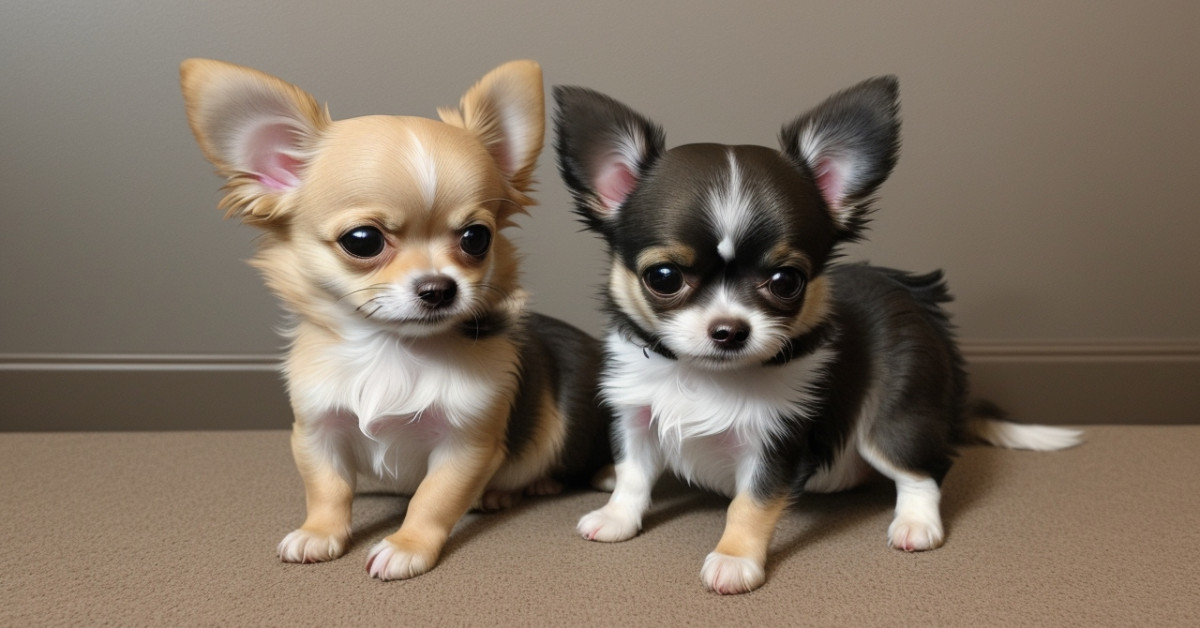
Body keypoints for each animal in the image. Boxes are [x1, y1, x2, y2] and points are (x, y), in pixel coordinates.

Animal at [181, 59, 612, 581]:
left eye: (476, 238)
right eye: (362, 240)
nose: (439, 287)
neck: (389, 348)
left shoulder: (465, 444)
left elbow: (432, 499)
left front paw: (407, 545)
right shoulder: (317, 432)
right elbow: (327, 489)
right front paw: (318, 533)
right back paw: (501, 492)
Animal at [553, 76, 1082, 594]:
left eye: (786, 281)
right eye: (663, 277)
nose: (729, 330)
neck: (702, 377)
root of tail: (915, 296)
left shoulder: (774, 442)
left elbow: (750, 505)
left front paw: (735, 559)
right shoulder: (635, 417)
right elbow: (634, 474)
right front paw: (618, 517)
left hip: (896, 417)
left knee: (923, 469)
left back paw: (915, 522)